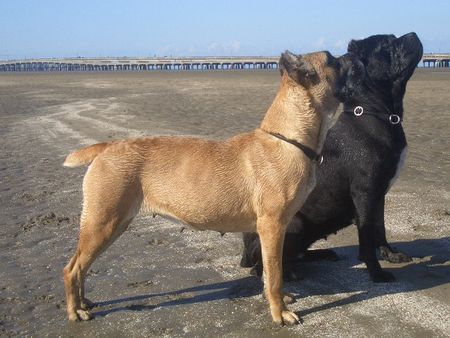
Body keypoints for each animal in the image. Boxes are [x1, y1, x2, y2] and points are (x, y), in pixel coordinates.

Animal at [63, 50, 350, 324]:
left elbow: (269, 275)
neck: (288, 137)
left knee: (81, 267)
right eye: (331, 58)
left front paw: (278, 299)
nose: (351, 54)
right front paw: (280, 313)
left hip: (113, 225)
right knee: (72, 269)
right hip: (102, 224)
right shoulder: (273, 227)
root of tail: (106, 147)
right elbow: (275, 273)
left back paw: (84, 302)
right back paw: (75, 311)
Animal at [241, 33, 424, 282]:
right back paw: (289, 272)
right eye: (387, 44)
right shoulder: (365, 193)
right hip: (293, 224)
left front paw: (390, 254)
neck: (376, 113)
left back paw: (323, 254)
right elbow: (367, 237)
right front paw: (376, 272)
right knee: (263, 266)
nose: (413, 34)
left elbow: (380, 228)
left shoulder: (379, 194)